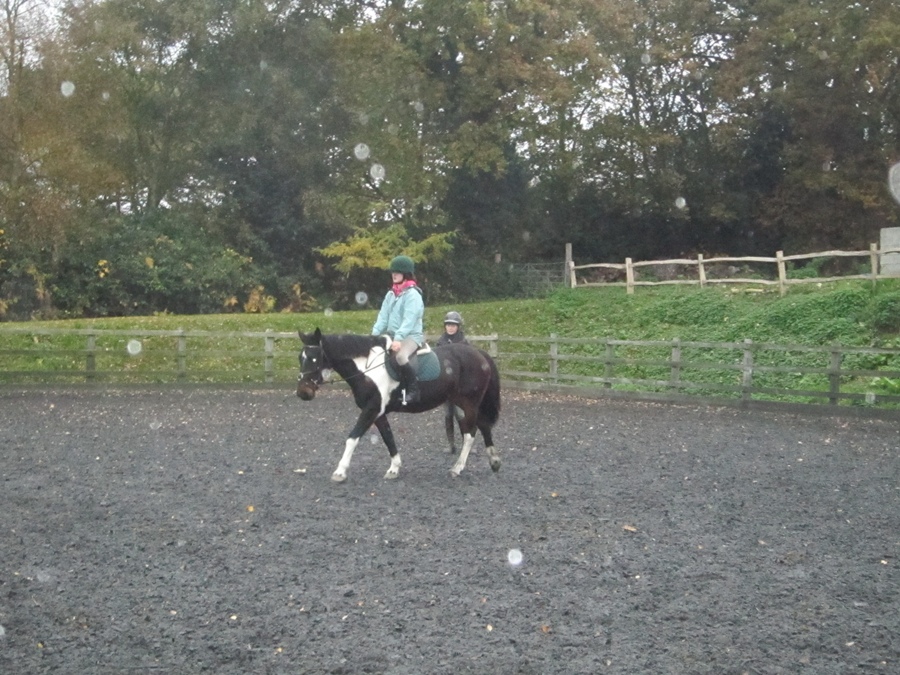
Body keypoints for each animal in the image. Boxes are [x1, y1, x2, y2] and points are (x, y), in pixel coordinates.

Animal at [296, 328, 501, 482]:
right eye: (300, 357)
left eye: (315, 358)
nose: (303, 392)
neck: (366, 370)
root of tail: (479, 353)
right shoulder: (378, 413)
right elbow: (388, 437)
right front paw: (394, 469)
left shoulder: (371, 409)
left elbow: (352, 438)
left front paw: (340, 471)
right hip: (465, 403)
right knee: (483, 426)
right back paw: (494, 461)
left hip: (469, 403)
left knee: (470, 434)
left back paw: (457, 468)